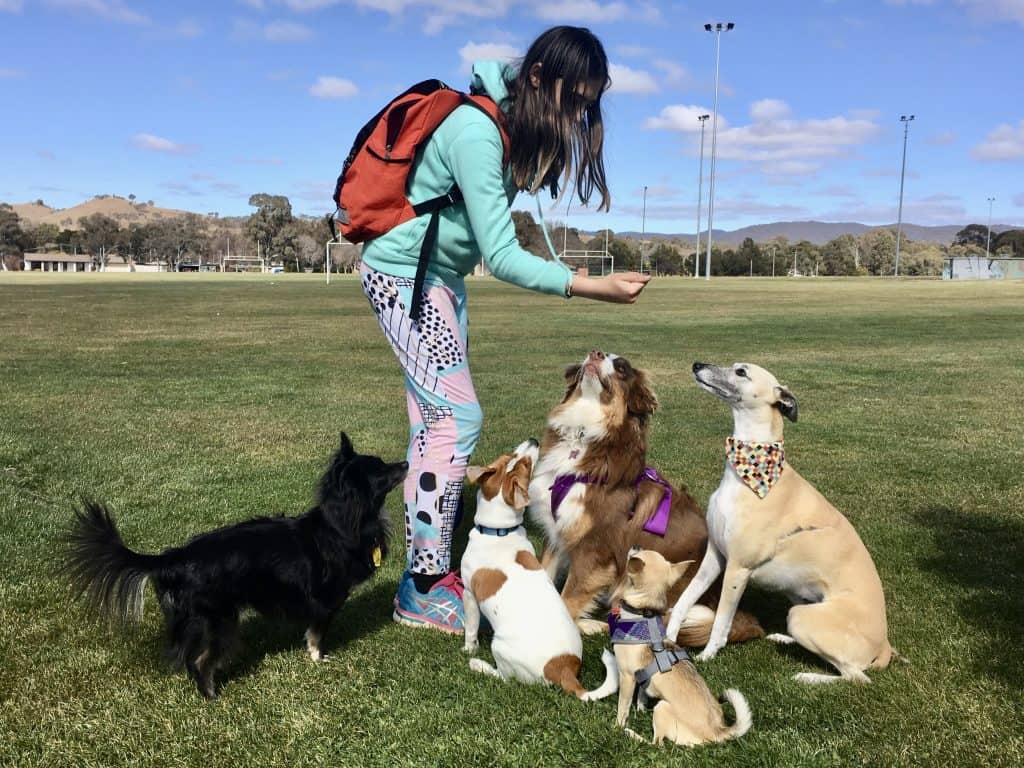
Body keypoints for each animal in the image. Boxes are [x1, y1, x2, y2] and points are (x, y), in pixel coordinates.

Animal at [59, 434, 407, 704]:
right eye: (380, 469)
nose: (405, 463)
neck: (341, 522)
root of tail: (174, 557)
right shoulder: (326, 601)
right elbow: (317, 634)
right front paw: (317, 658)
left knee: (192, 659)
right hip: (220, 621)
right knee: (201, 661)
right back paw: (212, 696)